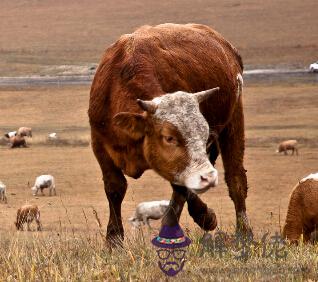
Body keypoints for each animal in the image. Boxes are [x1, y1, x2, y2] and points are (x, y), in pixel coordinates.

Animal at [88, 23, 250, 246]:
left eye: (203, 132)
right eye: (169, 137)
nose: (208, 177)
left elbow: (181, 187)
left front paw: (204, 217)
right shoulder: (100, 145)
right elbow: (115, 188)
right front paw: (114, 240)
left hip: (233, 122)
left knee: (236, 179)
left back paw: (244, 233)